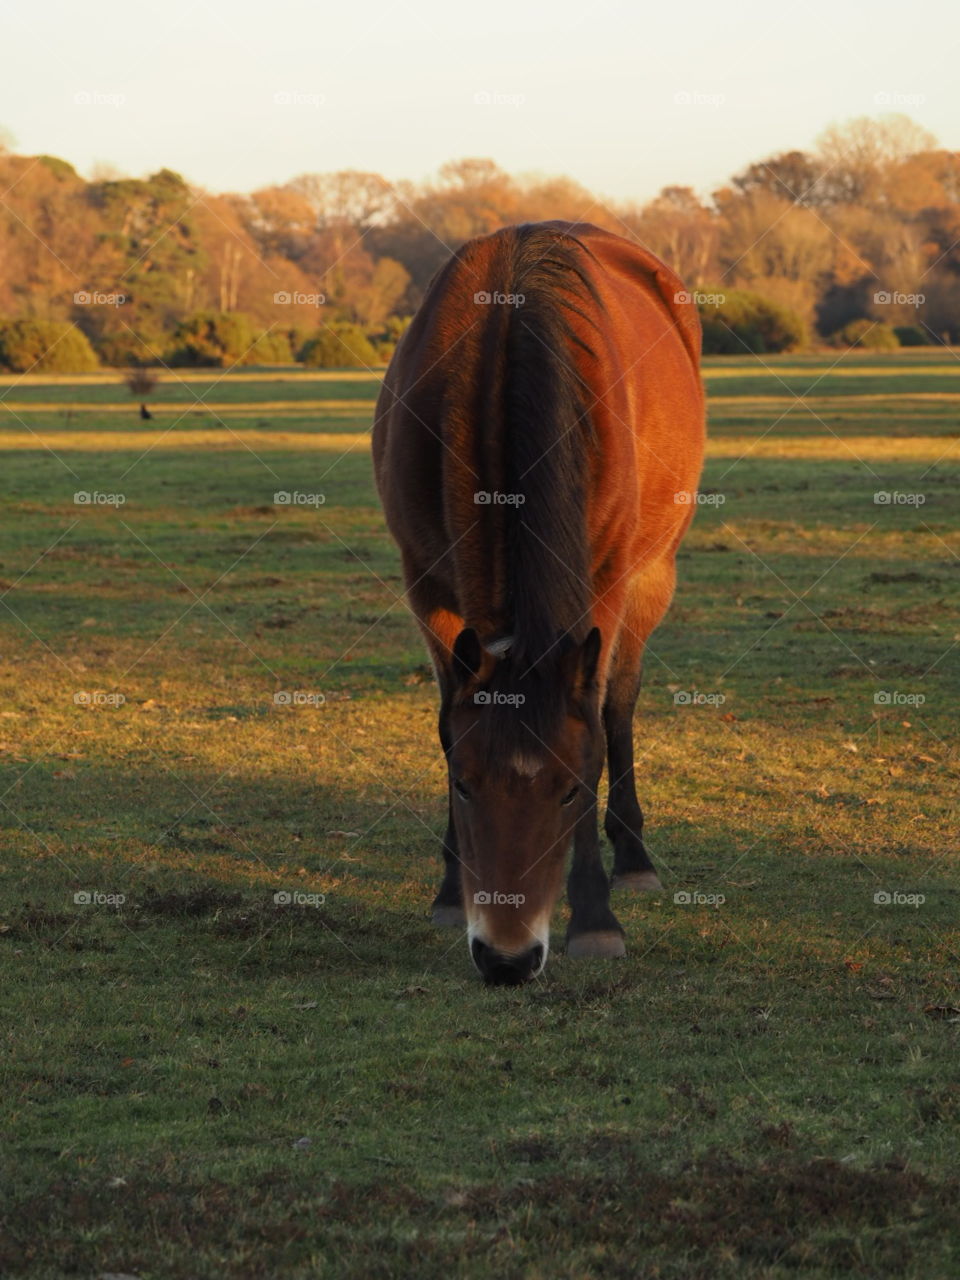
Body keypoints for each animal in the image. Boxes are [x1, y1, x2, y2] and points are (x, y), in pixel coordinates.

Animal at [372, 221, 704, 984]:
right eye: (464, 784)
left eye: (569, 790)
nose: (506, 958)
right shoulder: (424, 585)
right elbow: (446, 718)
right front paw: (448, 889)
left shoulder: (603, 585)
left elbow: (595, 726)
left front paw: (595, 918)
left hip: (653, 574)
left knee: (618, 703)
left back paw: (633, 858)